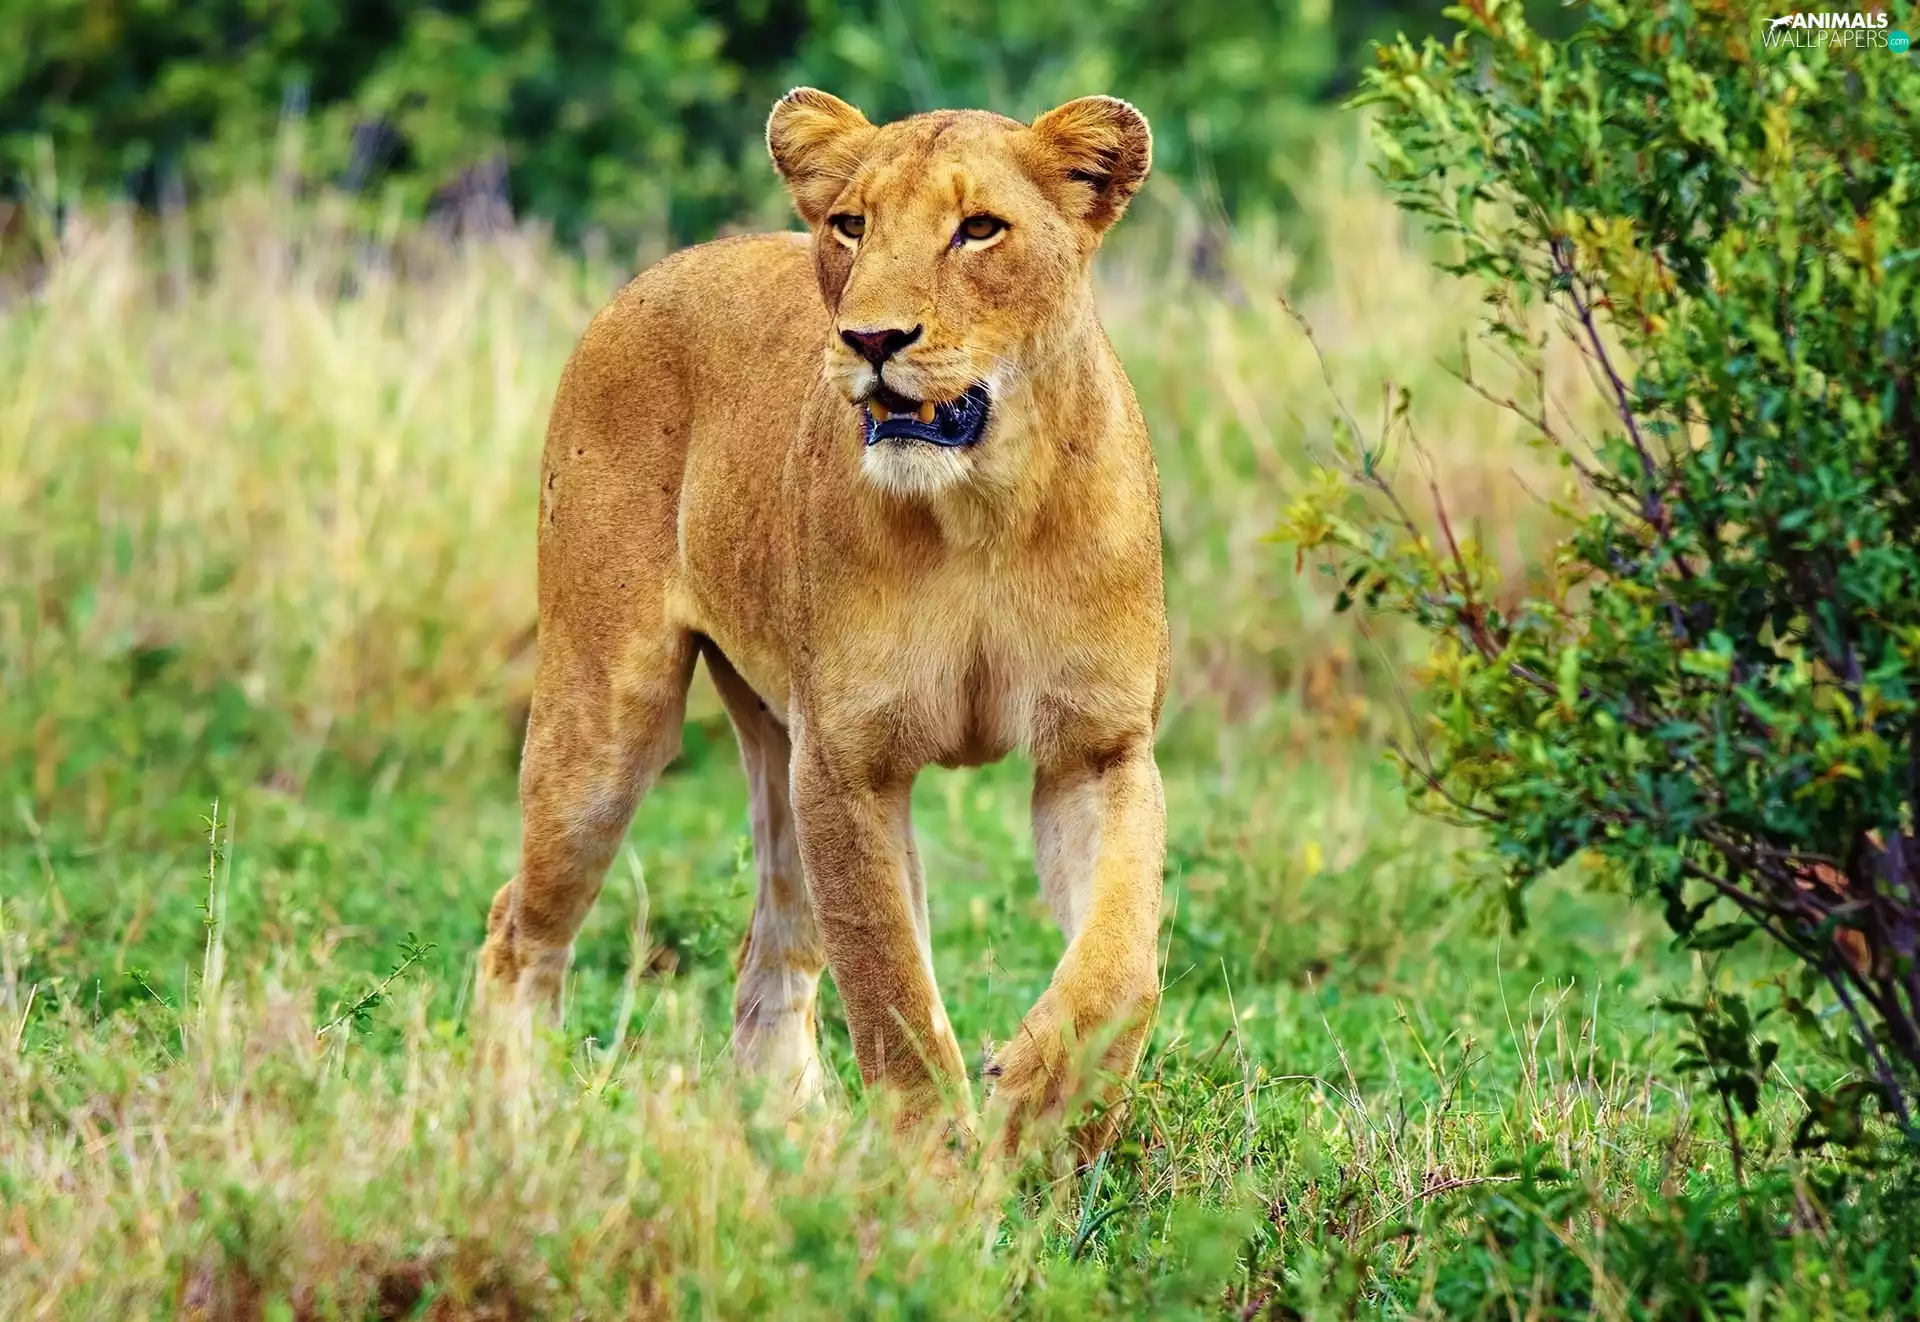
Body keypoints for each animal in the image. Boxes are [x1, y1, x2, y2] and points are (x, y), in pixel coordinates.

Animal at [479, 88, 1168, 1150]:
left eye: (979, 230)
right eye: (851, 226)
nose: (873, 341)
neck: (983, 512)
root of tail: (658, 271)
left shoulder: (1098, 747)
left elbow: (1122, 956)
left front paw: (1042, 1111)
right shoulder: (849, 761)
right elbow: (890, 989)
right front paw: (934, 1173)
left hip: (779, 739)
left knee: (769, 958)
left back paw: (794, 1144)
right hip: (607, 720)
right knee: (520, 928)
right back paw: (521, 1127)